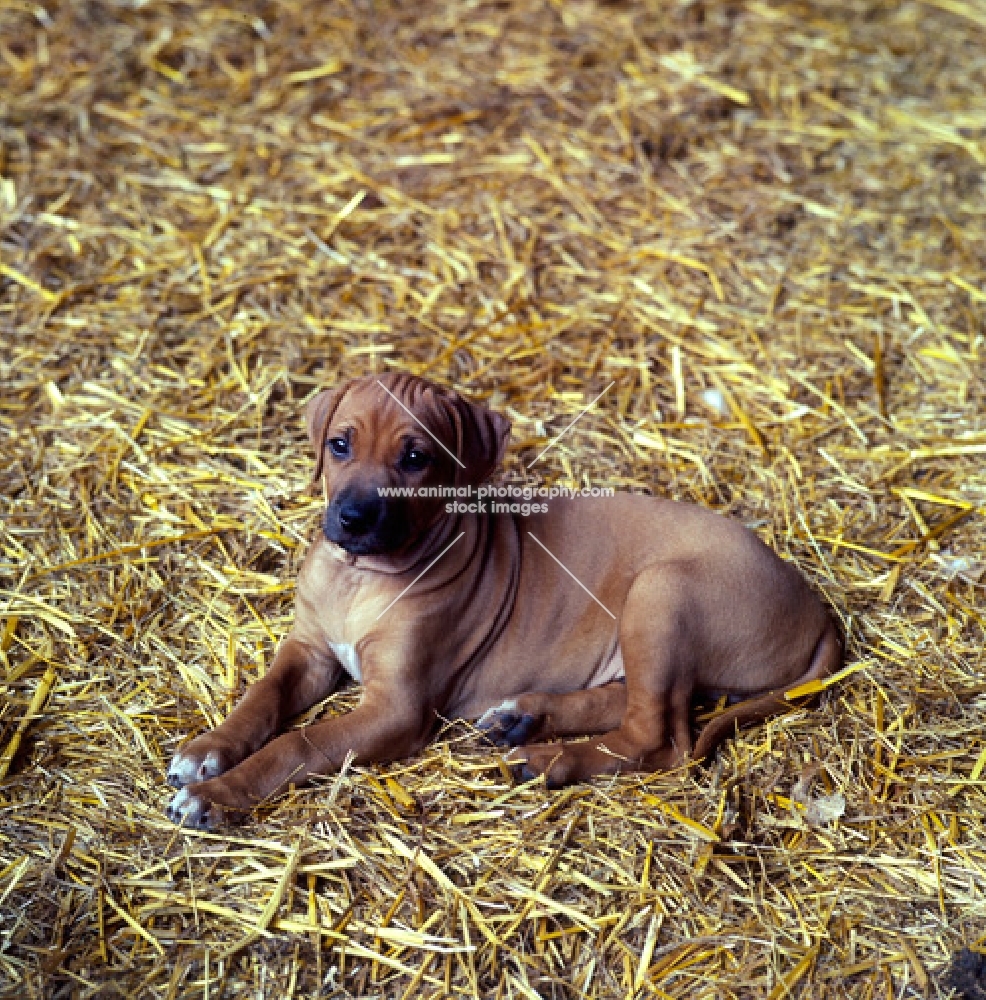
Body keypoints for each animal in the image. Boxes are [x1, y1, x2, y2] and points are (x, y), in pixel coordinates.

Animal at [165, 376, 840, 828]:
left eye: (416, 458)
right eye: (338, 445)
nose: (353, 518)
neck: (359, 578)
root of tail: (815, 607)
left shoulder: (397, 708)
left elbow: (299, 743)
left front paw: (217, 795)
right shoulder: (308, 650)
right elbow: (262, 697)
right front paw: (206, 752)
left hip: (661, 591)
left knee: (659, 738)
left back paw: (546, 760)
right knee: (632, 704)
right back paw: (522, 717)